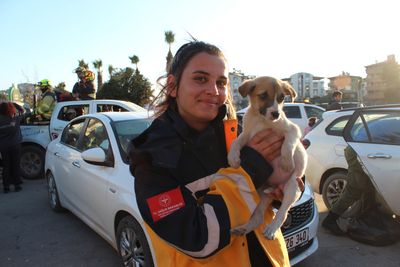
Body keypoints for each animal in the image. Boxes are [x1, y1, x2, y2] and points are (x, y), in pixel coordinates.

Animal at [227, 76, 308, 241]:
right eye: (263, 95)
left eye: (282, 98)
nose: (276, 114)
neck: (262, 120)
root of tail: (272, 187)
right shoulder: (247, 134)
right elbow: (236, 142)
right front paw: (233, 158)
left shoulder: (293, 130)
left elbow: (287, 145)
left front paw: (286, 163)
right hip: (259, 193)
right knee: (258, 217)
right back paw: (242, 229)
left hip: (292, 187)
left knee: (283, 214)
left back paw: (271, 229)